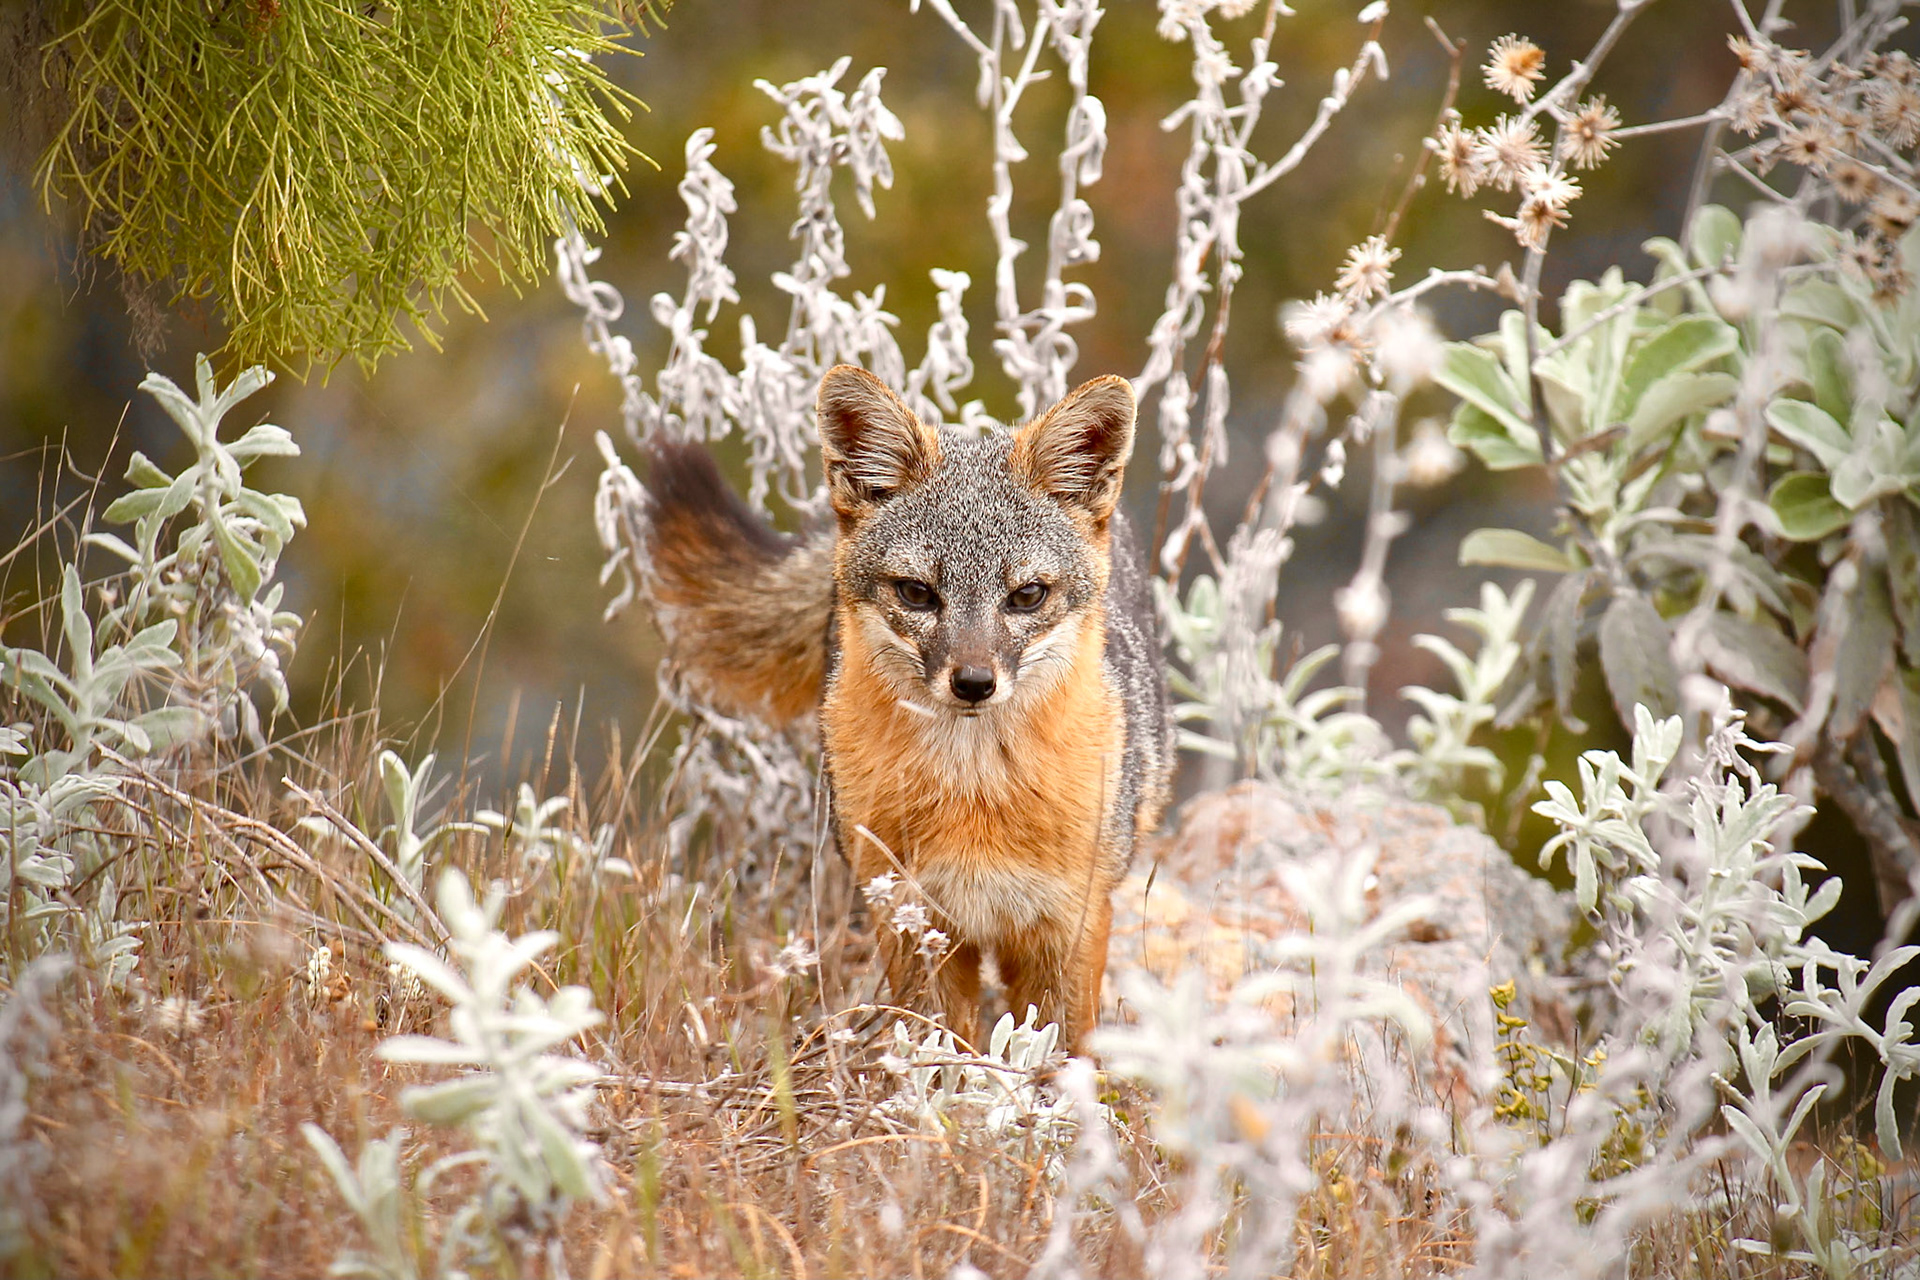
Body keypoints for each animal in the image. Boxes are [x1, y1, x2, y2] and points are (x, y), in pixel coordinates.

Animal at [638, 364, 1171, 1053]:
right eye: (918, 593)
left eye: (1026, 596)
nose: (973, 683)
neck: (975, 798)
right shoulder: (911, 916)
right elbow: (937, 1046)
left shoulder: (1068, 925)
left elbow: (1058, 1049)